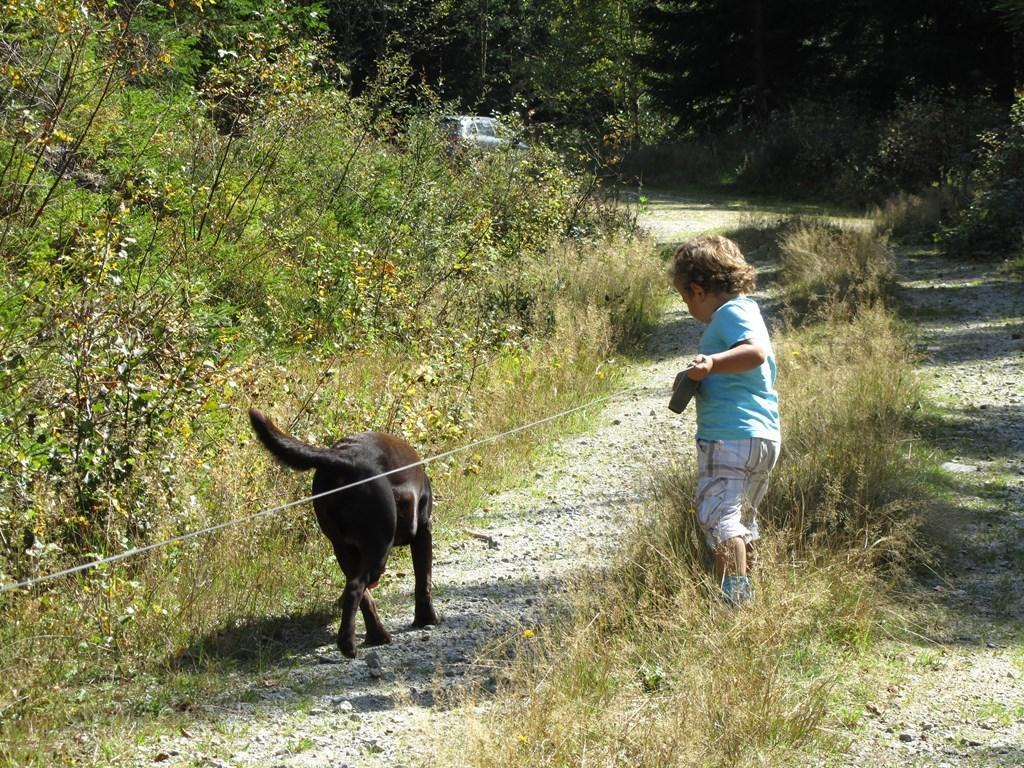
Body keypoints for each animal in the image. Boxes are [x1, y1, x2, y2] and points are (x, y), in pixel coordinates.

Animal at [250, 411, 440, 659]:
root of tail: (343, 458)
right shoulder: (424, 531)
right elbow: (423, 580)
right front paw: (426, 619)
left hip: (343, 547)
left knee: (359, 592)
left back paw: (375, 636)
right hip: (379, 545)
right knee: (356, 587)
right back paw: (349, 645)